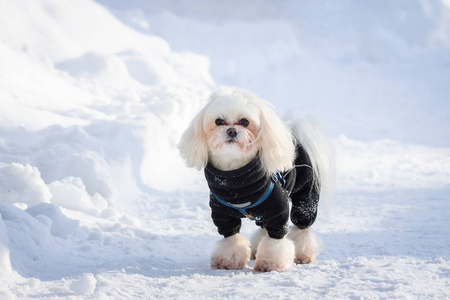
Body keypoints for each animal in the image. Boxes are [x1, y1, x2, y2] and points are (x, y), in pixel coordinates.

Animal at [178, 86, 332, 272]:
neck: (235, 180)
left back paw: (302, 254)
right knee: (264, 228)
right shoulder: (222, 215)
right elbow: (231, 237)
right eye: (219, 121)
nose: (231, 130)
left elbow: (276, 240)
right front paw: (228, 261)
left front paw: (271, 263)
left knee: (302, 226)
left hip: (306, 195)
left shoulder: (278, 210)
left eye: (244, 122)